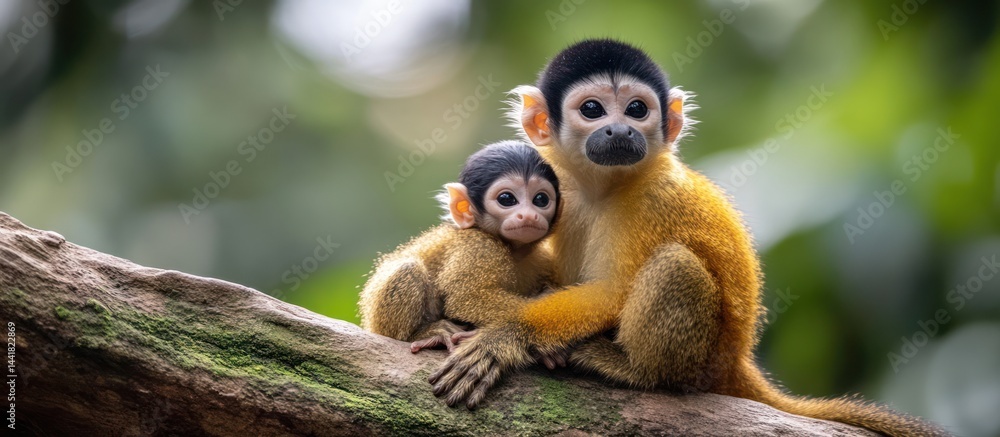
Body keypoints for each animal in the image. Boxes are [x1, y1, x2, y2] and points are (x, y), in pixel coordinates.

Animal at [359, 140, 568, 368]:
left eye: (540, 199)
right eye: (506, 199)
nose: (529, 215)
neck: (513, 249)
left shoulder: (545, 260)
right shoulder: (479, 247)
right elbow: (466, 297)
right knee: (408, 269)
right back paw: (423, 334)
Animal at [428, 39, 947, 436]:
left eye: (637, 109)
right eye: (593, 110)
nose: (620, 130)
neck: (605, 185)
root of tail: (737, 360)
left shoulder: (653, 198)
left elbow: (613, 290)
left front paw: (508, 337)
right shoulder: (564, 188)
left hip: (703, 358)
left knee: (675, 263)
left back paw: (641, 372)